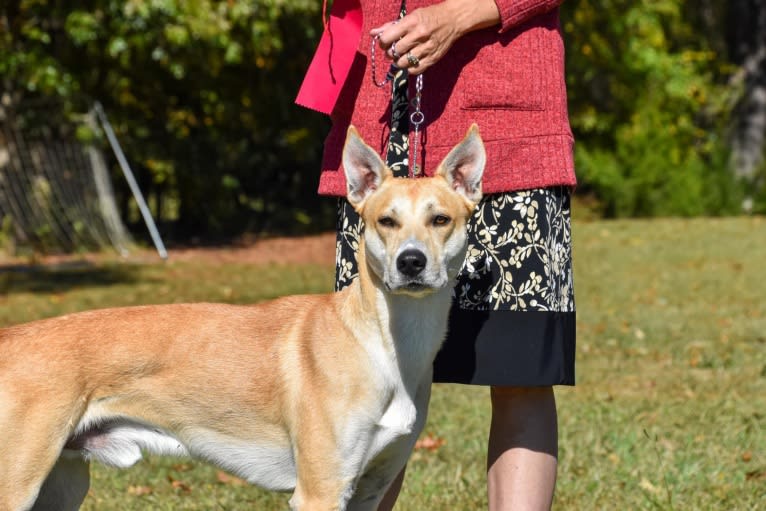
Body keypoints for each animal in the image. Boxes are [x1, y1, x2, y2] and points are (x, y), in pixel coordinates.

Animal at [0, 125, 486, 511]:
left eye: (440, 219)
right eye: (386, 221)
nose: (411, 262)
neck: (382, 344)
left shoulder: (370, 488)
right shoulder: (320, 492)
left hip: (61, 484)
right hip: (20, 483)